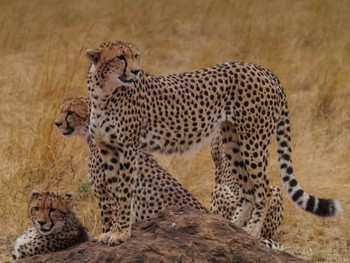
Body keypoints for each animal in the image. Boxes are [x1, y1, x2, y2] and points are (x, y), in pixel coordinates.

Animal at [55, 97, 284, 250]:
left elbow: (108, 222)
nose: (57, 123)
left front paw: (109, 236)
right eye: (62, 110)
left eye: (70, 113)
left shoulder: (105, 195)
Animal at [85, 40, 340, 243]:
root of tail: (262, 69)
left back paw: (252, 231)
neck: (103, 92)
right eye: (120, 57)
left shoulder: (128, 149)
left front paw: (121, 233)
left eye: (136, 56)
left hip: (253, 140)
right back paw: (232, 228)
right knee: (248, 189)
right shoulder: (108, 148)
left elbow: (125, 193)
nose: (137, 71)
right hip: (232, 141)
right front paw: (113, 231)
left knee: (265, 189)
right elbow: (116, 194)